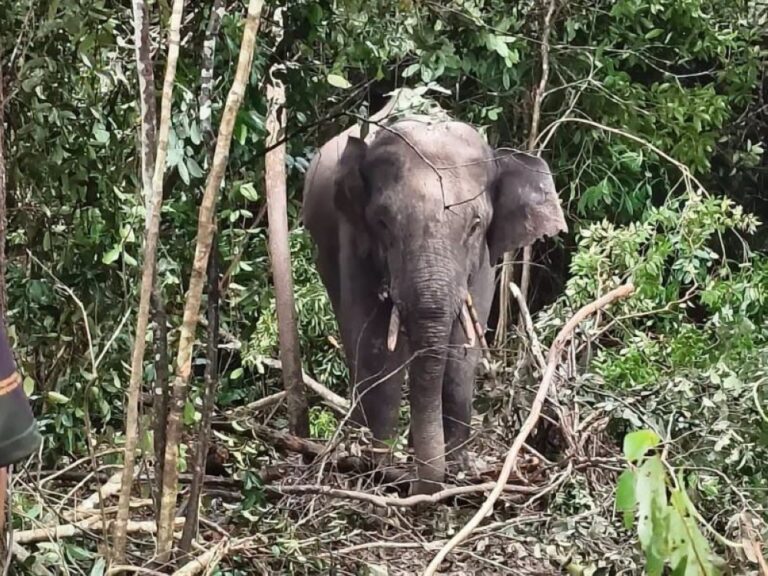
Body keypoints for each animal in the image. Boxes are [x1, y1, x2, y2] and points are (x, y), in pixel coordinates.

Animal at [302, 97, 567, 494]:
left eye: (474, 225)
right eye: (383, 223)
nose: (414, 483)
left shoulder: (485, 261)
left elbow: (461, 348)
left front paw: (457, 468)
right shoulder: (353, 238)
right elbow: (374, 343)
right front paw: (377, 467)